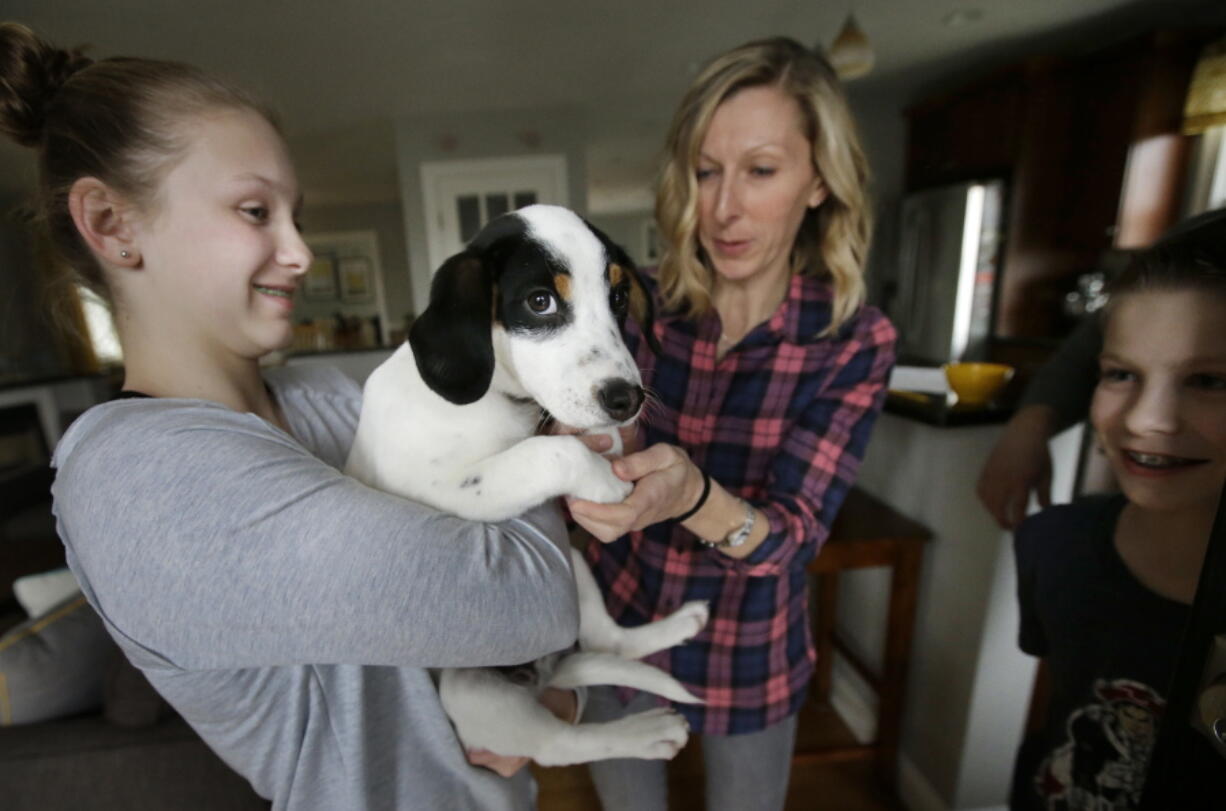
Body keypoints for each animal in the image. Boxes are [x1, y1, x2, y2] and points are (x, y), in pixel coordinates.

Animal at [345, 207, 711, 764]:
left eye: (619, 298)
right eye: (541, 302)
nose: (627, 399)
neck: (499, 397)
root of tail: (544, 670)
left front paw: (608, 445)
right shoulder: (447, 490)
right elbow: (551, 451)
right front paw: (603, 479)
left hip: (573, 565)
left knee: (609, 643)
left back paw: (681, 625)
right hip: (469, 691)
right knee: (561, 744)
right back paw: (646, 734)